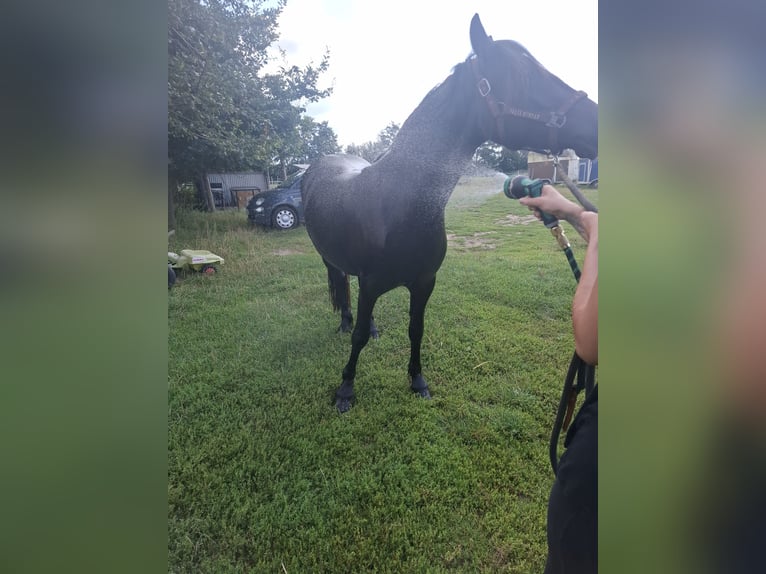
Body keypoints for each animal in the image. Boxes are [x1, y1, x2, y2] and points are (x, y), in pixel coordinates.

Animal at [302, 13, 600, 414]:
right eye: (525, 77)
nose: (596, 121)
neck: (399, 204)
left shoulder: (424, 282)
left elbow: (416, 330)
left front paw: (417, 381)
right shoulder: (373, 283)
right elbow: (359, 337)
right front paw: (346, 389)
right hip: (331, 261)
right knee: (343, 288)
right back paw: (346, 322)